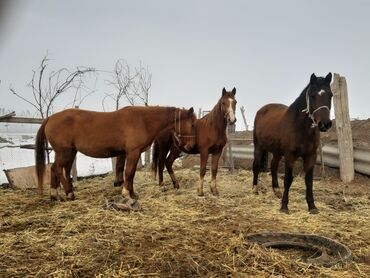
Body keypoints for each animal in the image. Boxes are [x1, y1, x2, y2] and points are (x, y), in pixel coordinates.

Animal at [35, 106, 197, 200]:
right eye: (193, 124)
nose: (191, 146)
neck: (143, 120)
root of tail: (50, 118)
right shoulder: (133, 152)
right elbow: (129, 173)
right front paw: (126, 193)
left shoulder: (129, 153)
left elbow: (129, 173)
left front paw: (132, 193)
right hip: (65, 152)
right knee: (56, 168)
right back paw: (69, 193)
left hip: (66, 153)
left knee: (55, 169)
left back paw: (54, 194)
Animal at [253, 73, 334, 214]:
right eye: (312, 95)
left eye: (330, 95)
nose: (325, 124)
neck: (301, 129)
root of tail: (261, 110)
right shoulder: (290, 156)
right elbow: (288, 179)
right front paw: (284, 206)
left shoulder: (311, 156)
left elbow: (309, 181)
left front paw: (312, 206)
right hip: (258, 146)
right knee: (256, 165)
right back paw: (254, 189)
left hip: (277, 152)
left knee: (273, 166)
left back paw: (276, 190)